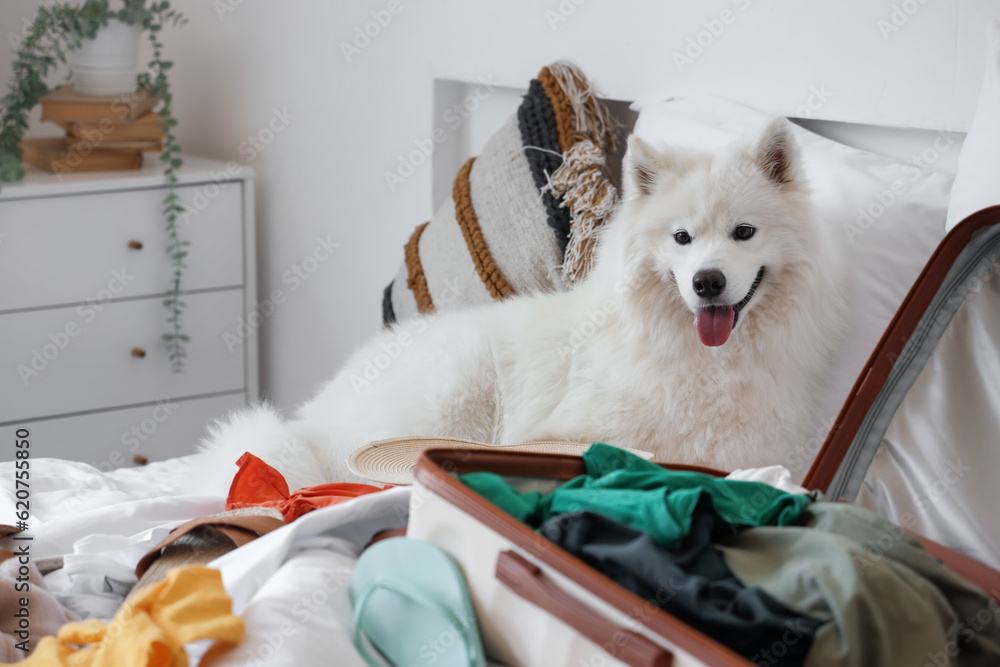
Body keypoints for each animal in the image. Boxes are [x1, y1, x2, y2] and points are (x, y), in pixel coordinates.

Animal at [195, 117, 844, 494]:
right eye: (682, 239)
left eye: (744, 233)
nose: (707, 282)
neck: (705, 359)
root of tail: (310, 420)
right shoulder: (574, 430)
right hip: (459, 388)